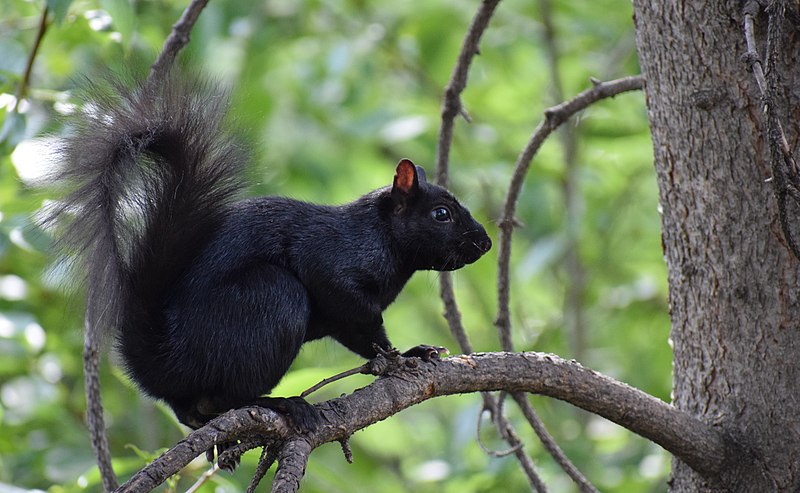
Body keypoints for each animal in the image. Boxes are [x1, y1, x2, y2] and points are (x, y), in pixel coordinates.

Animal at [53, 74, 490, 430]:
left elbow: (362, 335)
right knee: (229, 397)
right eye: (441, 214)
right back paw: (282, 404)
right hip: (270, 296)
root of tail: (164, 360)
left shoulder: (344, 315)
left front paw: (413, 351)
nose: (485, 243)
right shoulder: (329, 260)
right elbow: (363, 319)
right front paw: (400, 357)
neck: (382, 239)